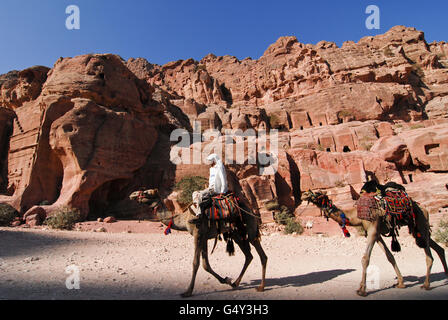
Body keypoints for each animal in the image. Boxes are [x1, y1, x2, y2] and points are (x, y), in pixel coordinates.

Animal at [128, 190, 268, 298]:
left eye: (146, 192)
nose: (132, 194)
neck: (184, 218)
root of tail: (250, 209)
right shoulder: (204, 237)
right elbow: (206, 265)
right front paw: (226, 280)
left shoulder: (198, 234)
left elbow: (196, 263)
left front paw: (187, 291)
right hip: (236, 233)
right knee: (249, 255)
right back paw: (236, 283)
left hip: (249, 226)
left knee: (261, 254)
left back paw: (261, 287)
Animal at [300, 189, 448, 296]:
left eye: (318, 193)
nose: (304, 194)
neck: (356, 214)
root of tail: (425, 209)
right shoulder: (376, 234)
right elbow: (390, 256)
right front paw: (401, 283)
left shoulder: (372, 229)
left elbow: (365, 259)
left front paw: (362, 290)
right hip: (417, 229)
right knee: (439, 248)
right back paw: (445, 276)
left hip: (421, 224)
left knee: (429, 255)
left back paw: (426, 285)